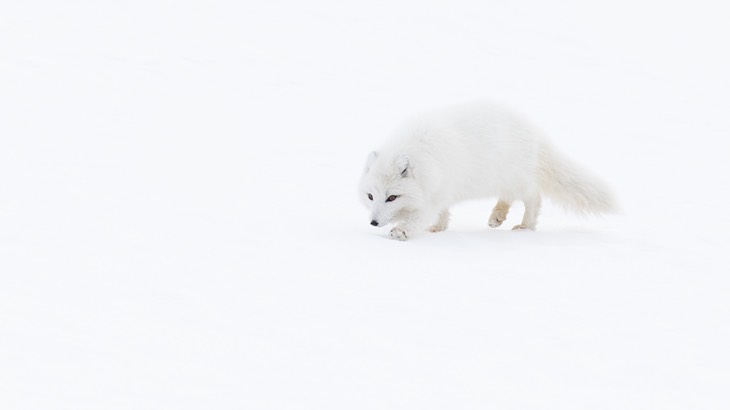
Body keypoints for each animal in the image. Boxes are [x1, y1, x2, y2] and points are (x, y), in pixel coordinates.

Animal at [358, 101, 616, 240]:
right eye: (370, 196)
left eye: (392, 197)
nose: (373, 223)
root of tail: (534, 131)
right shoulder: (442, 190)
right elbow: (443, 212)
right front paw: (439, 228)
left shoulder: (432, 194)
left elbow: (419, 216)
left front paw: (401, 232)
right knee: (509, 197)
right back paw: (497, 216)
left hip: (515, 178)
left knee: (534, 197)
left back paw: (526, 226)